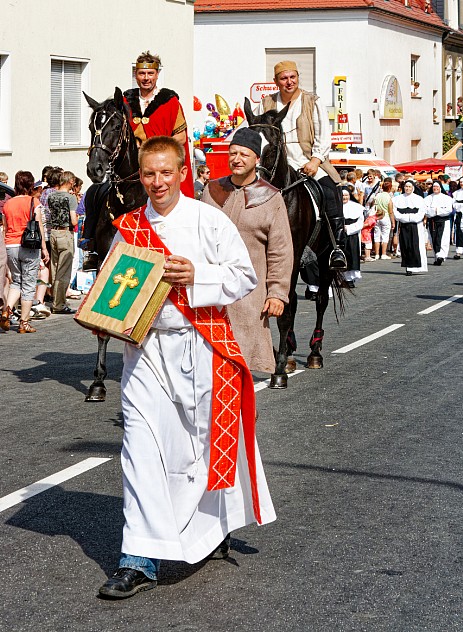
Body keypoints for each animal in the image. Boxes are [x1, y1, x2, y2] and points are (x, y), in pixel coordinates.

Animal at [245, 97, 346, 390]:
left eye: (271, 147)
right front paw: (279, 357)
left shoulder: (289, 258)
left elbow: (286, 309)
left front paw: (278, 369)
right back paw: (291, 352)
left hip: (324, 259)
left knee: (321, 300)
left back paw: (314, 353)